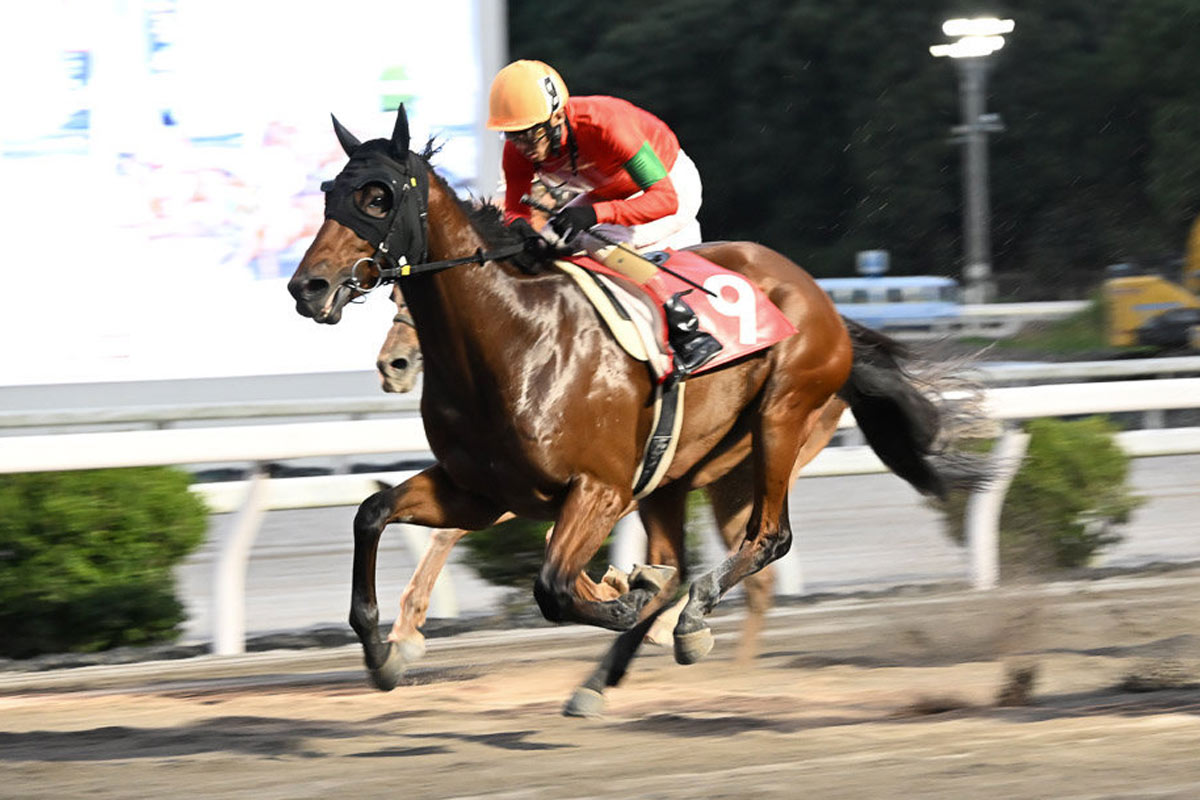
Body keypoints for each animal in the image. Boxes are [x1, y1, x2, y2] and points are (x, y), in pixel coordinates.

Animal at [288, 106, 986, 715]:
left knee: (765, 538)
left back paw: (688, 620)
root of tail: (824, 302)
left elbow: (554, 586)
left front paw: (623, 597)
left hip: (779, 422)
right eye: (329, 193)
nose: (307, 288)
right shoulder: (480, 490)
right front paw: (382, 653)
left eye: (378, 197)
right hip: (676, 473)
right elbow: (372, 513)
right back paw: (605, 676)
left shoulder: (598, 488)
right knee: (681, 564)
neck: (511, 338)